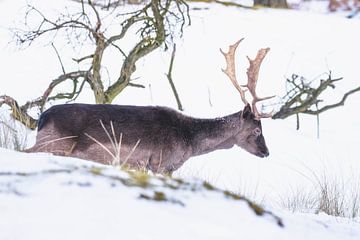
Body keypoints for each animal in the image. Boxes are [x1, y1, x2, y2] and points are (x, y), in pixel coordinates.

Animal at [26, 39, 272, 174]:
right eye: (256, 130)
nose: (266, 152)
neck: (190, 144)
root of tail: (42, 118)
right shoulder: (161, 164)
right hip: (54, 143)